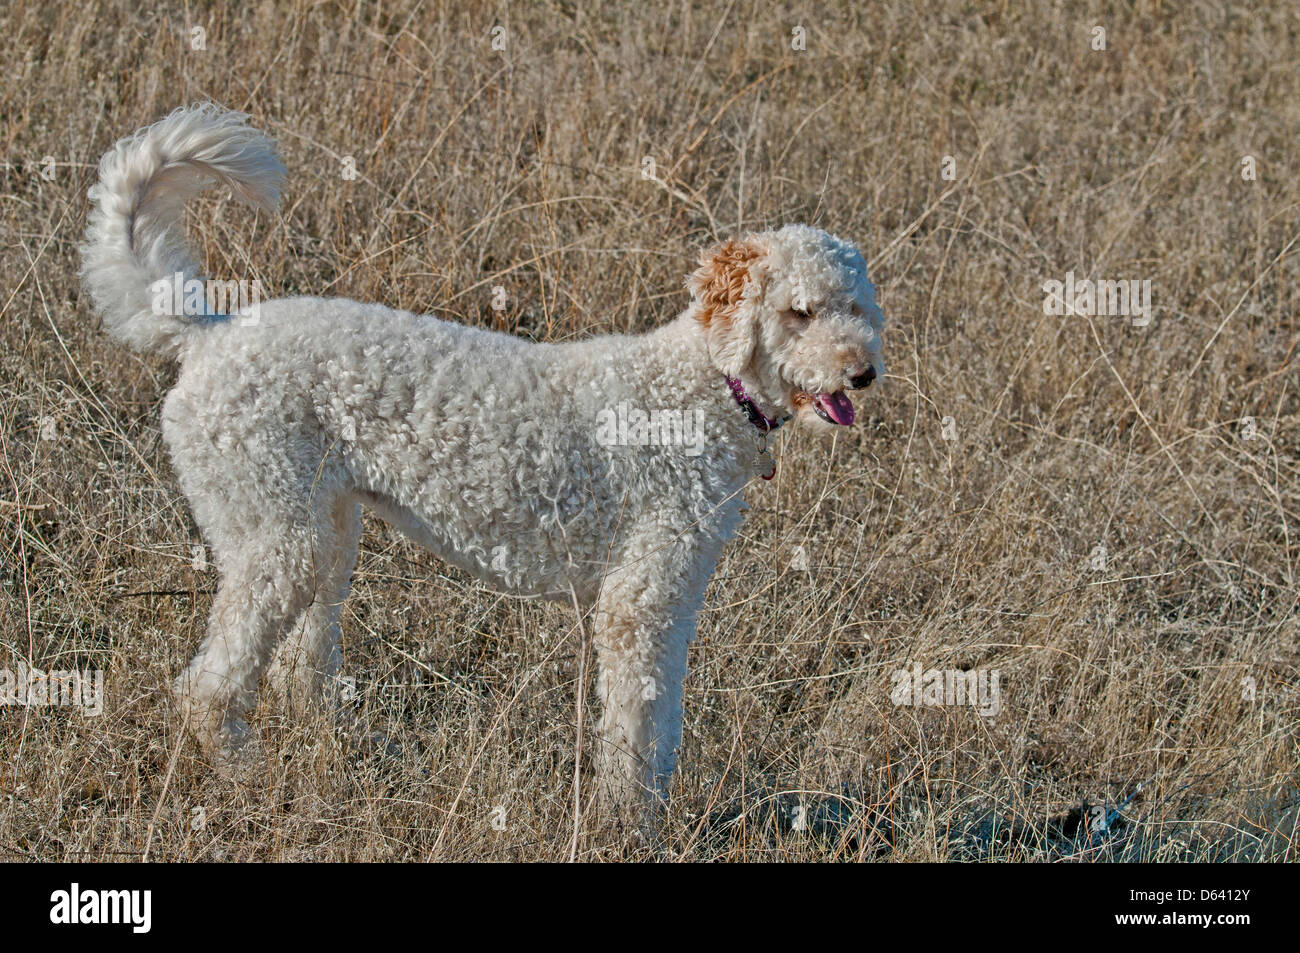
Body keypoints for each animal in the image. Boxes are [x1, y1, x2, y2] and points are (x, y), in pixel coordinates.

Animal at [78, 102, 883, 800]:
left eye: (856, 307)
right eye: (799, 311)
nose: (862, 372)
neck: (703, 386)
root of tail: (205, 335)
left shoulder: (674, 599)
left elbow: (662, 724)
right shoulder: (639, 601)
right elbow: (633, 730)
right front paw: (629, 821)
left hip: (324, 528)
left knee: (298, 670)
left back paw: (347, 755)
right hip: (276, 535)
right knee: (208, 687)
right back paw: (245, 774)